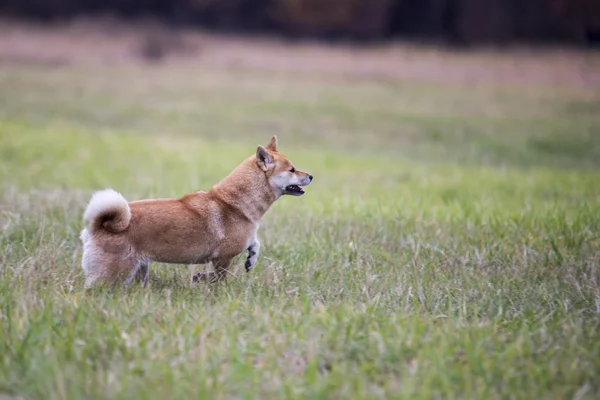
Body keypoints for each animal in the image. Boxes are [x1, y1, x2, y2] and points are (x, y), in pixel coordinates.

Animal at [79, 137, 312, 288]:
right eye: (292, 169)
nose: (311, 175)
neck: (233, 203)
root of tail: (98, 226)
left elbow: (255, 244)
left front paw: (251, 259)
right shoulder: (223, 258)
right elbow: (219, 276)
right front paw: (201, 279)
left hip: (137, 270)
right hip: (114, 274)